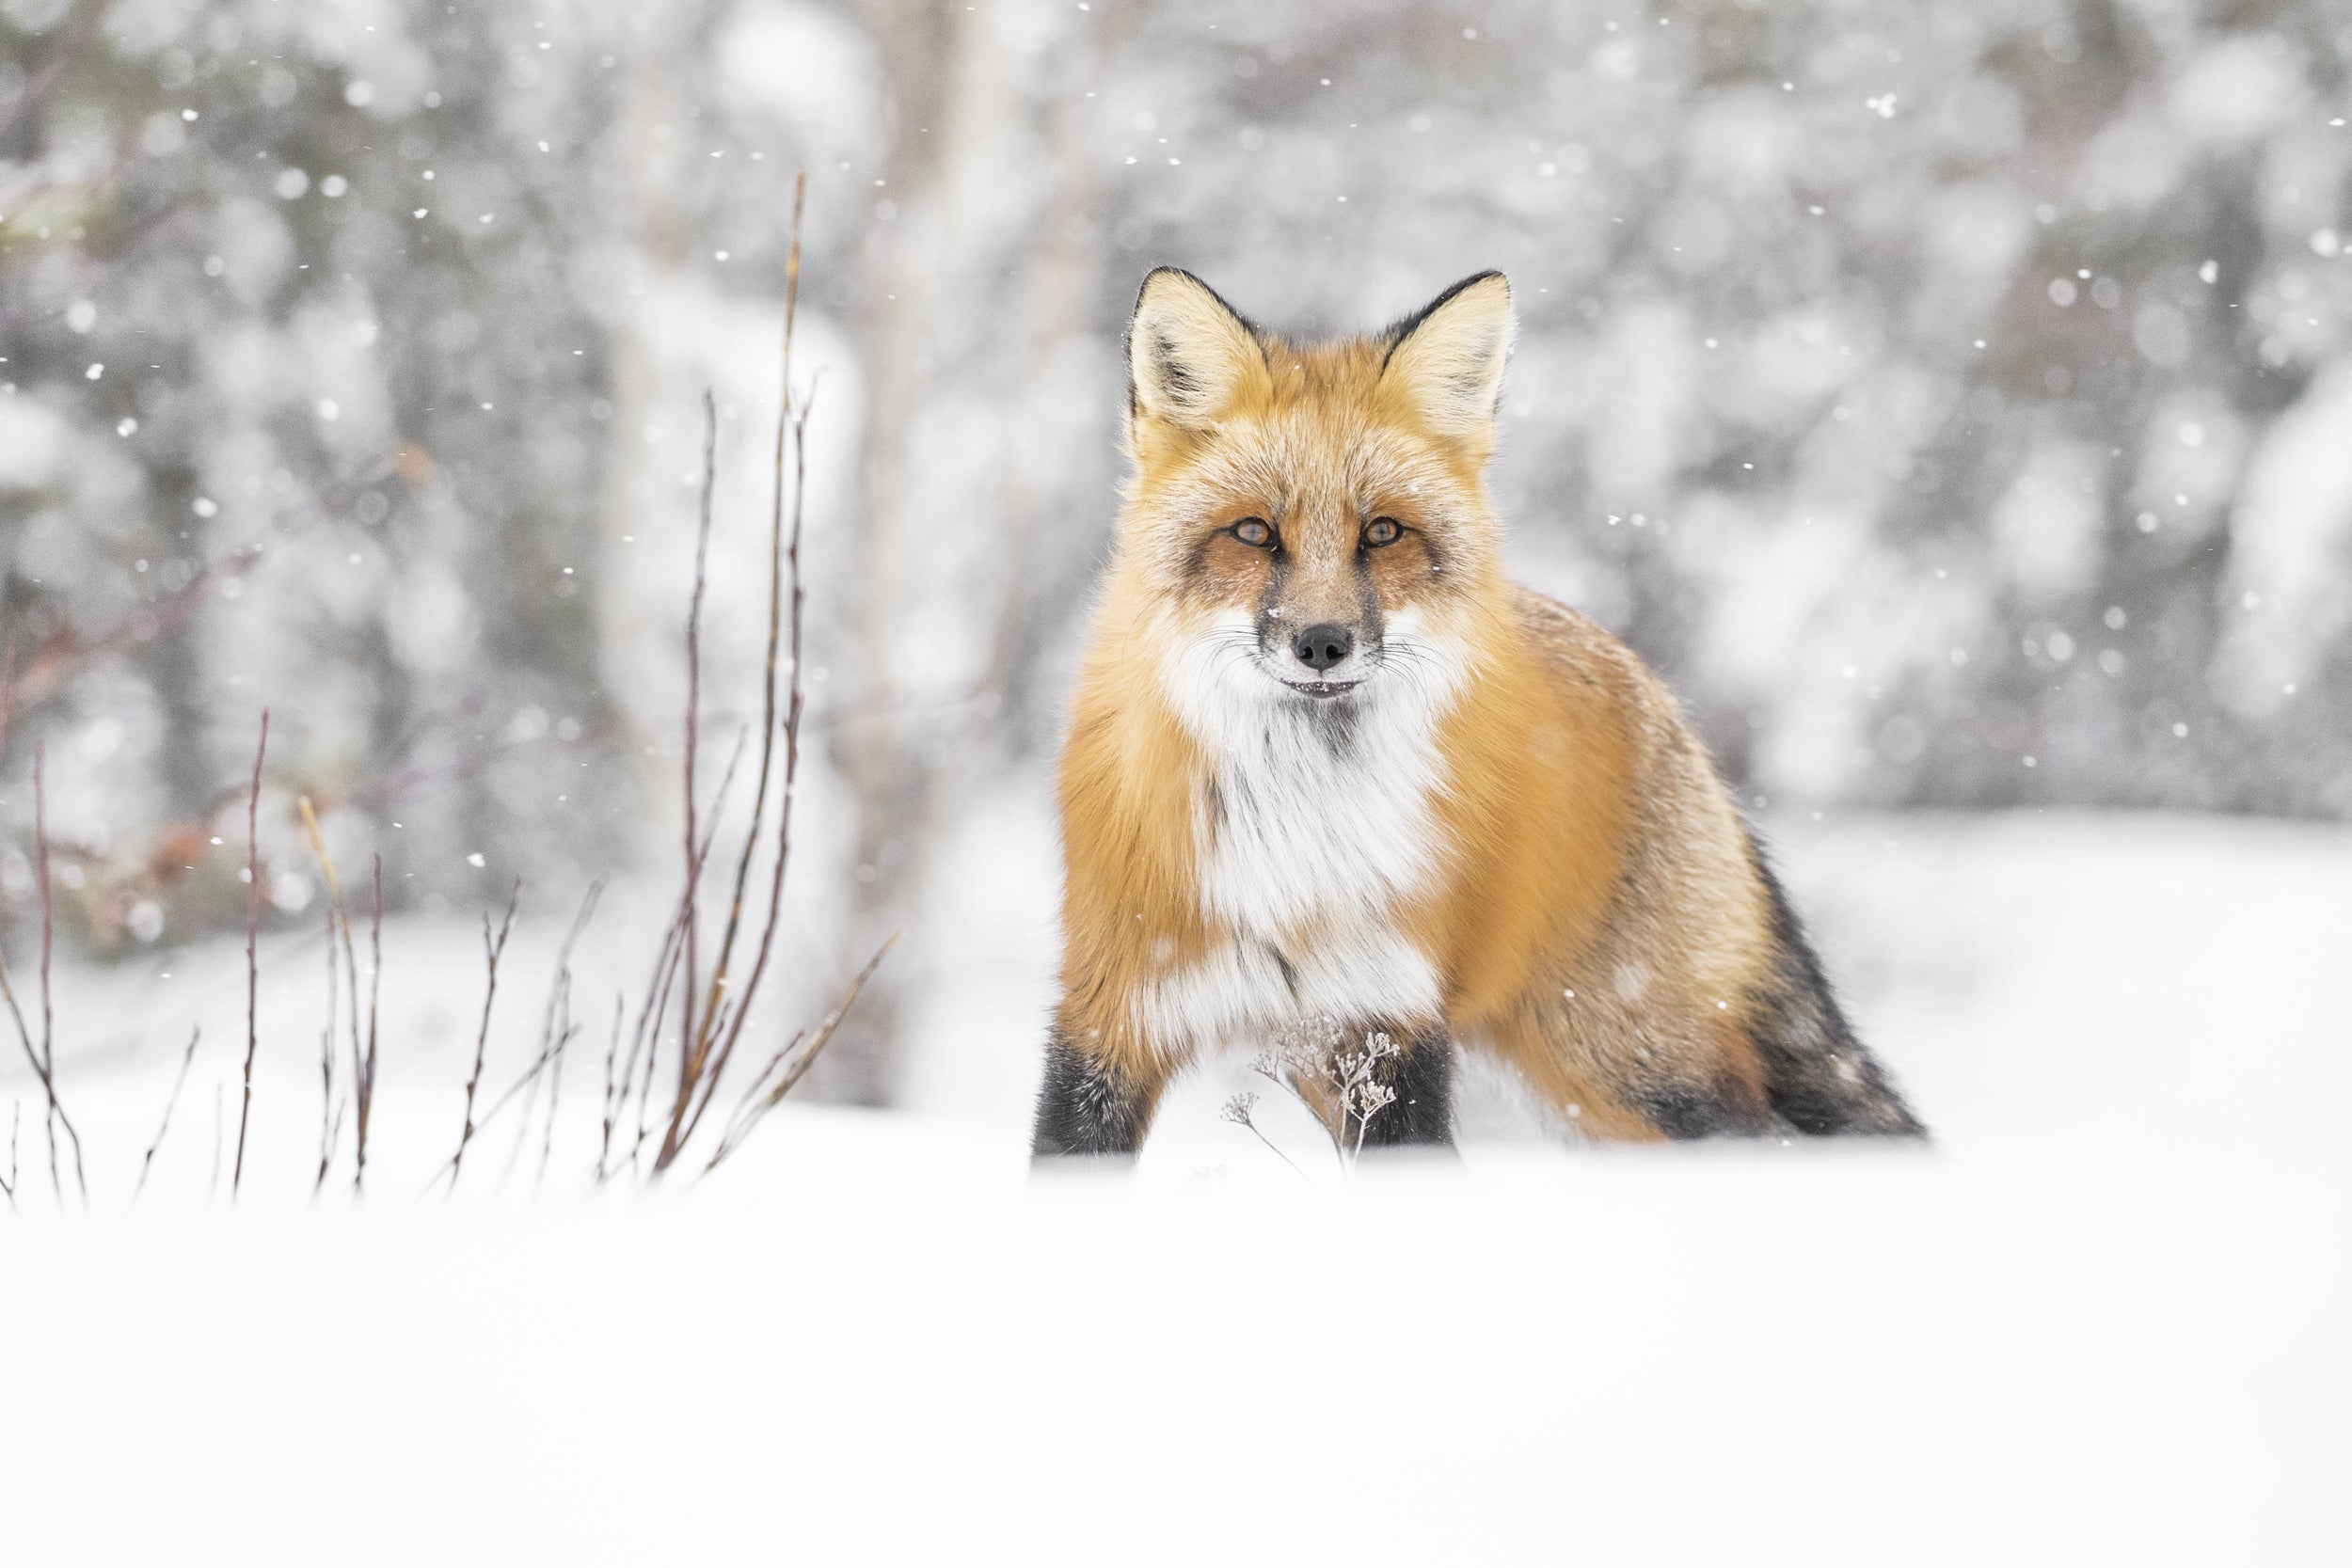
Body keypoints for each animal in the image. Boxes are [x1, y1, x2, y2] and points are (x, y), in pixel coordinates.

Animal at [1030, 267, 1923, 1159]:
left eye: (1383, 533)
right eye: (1252, 533)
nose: (1323, 644)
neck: (1299, 856)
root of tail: (1654, 689)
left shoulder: (1391, 1020)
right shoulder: (1109, 1015)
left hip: (1638, 1065)